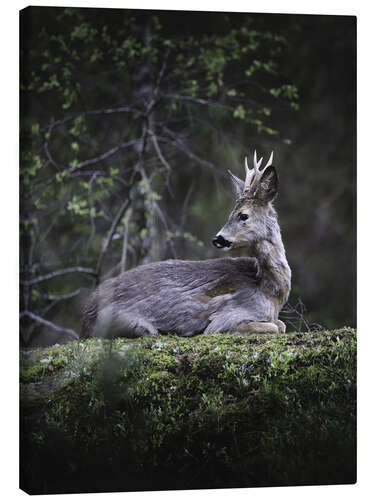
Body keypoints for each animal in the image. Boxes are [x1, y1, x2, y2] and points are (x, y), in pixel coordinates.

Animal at [82, 148, 292, 338]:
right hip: (127, 323)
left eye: (243, 215)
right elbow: (275, 327)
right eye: (230, 214)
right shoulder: (225, 319)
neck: (270, 292)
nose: (218, 239)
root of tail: (86, 315)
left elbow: (281, 325)